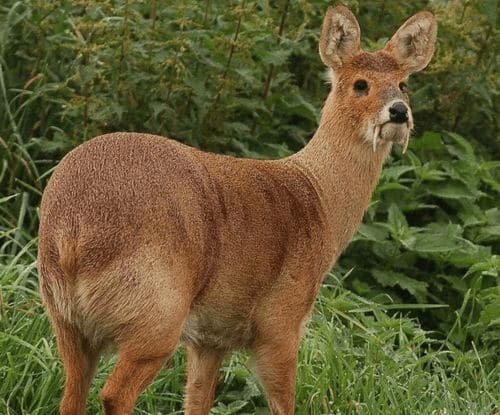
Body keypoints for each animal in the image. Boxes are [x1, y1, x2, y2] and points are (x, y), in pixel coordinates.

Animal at [38, 4, 438, 415]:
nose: (399, 112)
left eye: (404, 84)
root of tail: (73, 231)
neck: (317, 198)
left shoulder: (211, 337)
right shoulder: (281, 322)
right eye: (360, 84)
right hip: (156, 313)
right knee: (115, 393)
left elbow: (198, 399)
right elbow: (283, 402)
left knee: (72, 395)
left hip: (66, 319)